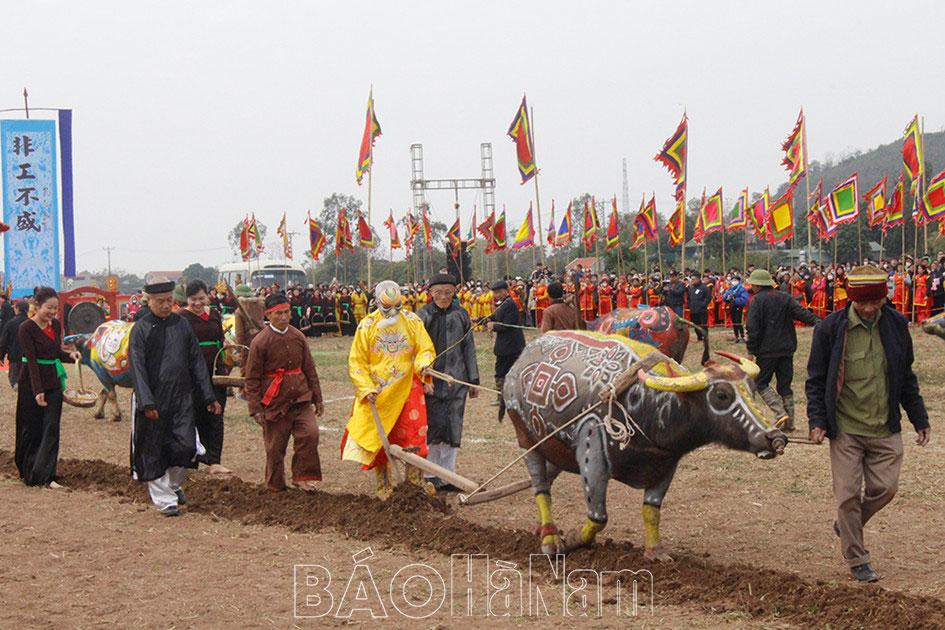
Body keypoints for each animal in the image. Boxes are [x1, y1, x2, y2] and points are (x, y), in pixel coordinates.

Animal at [506, 330, 784, 564]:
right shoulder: (591, 449)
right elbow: (598, 518)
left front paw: (655, 552)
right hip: (525, 438)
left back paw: (540, 527)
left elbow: (651, 511)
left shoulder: (666, 464)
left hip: (553, 448)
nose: (773, 437)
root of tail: (519, 361)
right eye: (721, 396)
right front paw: (573, 540)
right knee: (540, 486)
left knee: (546, 480)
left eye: (752, 389)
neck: (649, 404)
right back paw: (550, 537)